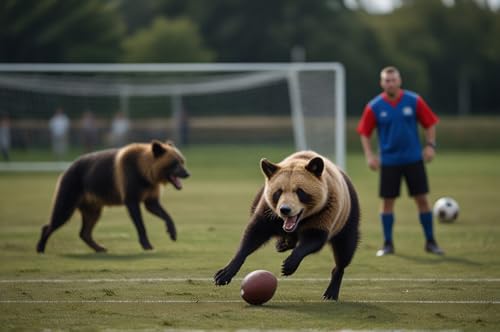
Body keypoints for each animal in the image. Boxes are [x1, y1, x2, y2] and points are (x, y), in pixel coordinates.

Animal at [36, 139, 189, 253]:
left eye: (182, 161)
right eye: (174, 163)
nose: (188, 173)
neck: (143, 172)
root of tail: (67, 168)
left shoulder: (150, 197)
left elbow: (166, 215)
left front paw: (172, 232)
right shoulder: (131, 197)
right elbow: (140, 224)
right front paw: (147, 244)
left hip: (93, 207)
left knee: (84, 232)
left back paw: (99, 248)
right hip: (69, 198)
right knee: (53, 222)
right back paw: (40, 247)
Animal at [214, 150, 360, 300]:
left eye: (300, 191)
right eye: (278, 192)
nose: (285, 210)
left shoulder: (325, 213)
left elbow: (313, 239)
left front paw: (289, 264)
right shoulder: (268, 211)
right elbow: (253, 235)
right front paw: (224, 273)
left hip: (348, 216)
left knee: (345, 250)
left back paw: (331, 290)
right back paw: (283, 244)